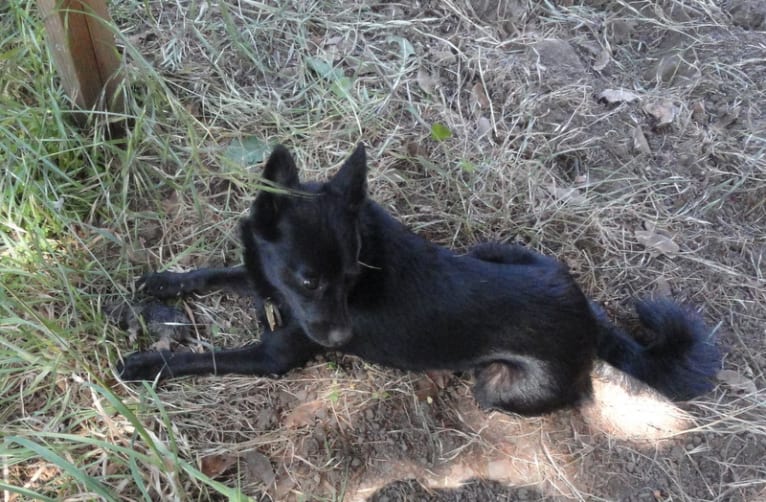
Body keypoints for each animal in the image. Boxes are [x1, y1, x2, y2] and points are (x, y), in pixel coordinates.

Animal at [117, 144, 724, 416]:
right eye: (309, 281)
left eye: (351, 276)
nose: (342, 339)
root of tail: (586, 315)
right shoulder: (270, 287)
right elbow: (223, 272)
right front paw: (164, 281)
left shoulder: (274, 355)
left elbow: (202, 357)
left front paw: (146, 364)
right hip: (497, 250)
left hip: (502, 386)